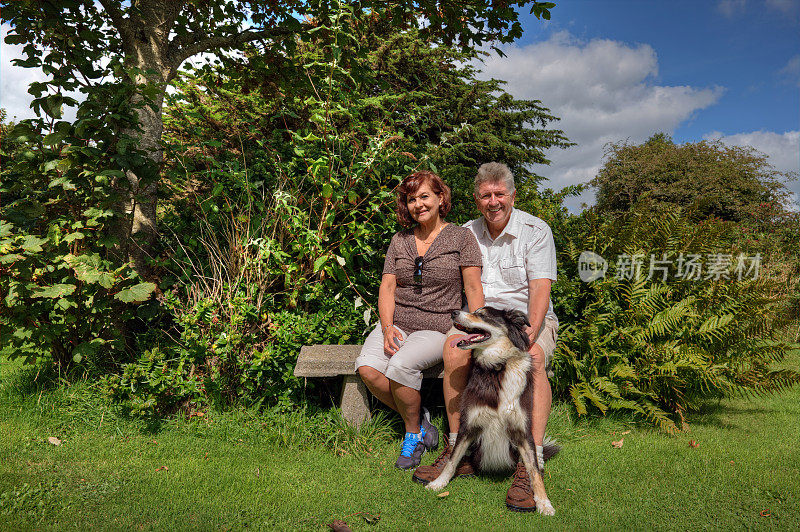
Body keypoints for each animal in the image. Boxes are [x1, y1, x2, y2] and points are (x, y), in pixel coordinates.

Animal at [422, 308, 560, 516]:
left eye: (483, 315)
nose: (454, 312)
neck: (497, 368)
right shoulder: (468, 425)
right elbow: (452, 459)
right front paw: (439, 483)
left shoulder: (522, 431)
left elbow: (534, 470)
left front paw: (544, 502)